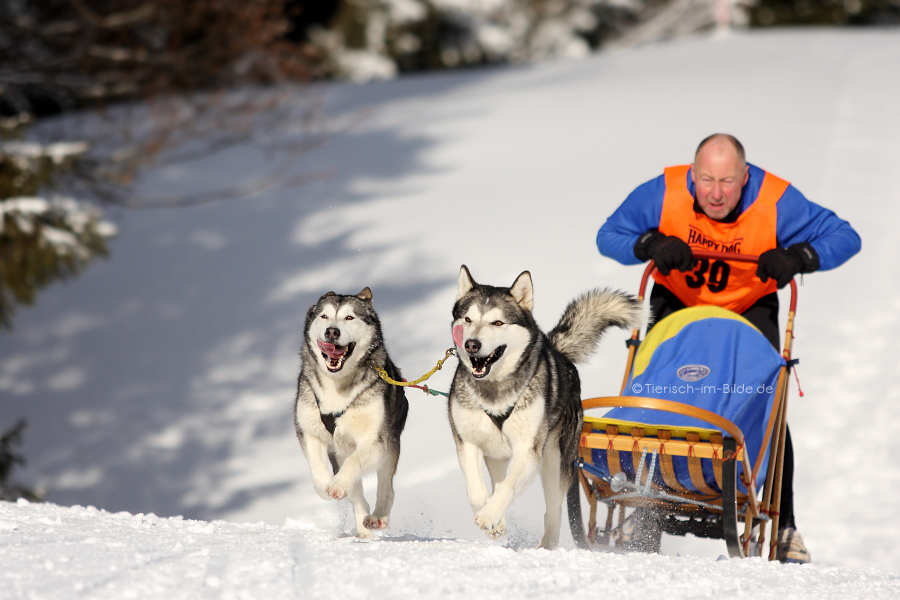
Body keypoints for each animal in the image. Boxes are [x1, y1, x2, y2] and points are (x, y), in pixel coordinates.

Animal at [296, 288, 408, 540]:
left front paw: (337, 486)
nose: (332, 331)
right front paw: (326, 487)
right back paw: (363, 527)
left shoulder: (376, 440)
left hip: (391, 446)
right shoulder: (309, 431)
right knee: (357, 496)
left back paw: (377, 517)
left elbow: (356, 461)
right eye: (324, 316)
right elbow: (317, 468)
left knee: (386, 486)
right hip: (339, 453)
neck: (337, 388)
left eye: (349, 317)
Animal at [446, 268, 636, 548]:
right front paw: (491, 516)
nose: (472, 344)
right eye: (468, 319)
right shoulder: (466, 440)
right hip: (497, 454)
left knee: (553, 510)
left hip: (555, 462)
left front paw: (490, 515)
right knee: (498, 482)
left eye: (497, 323)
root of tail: (558, 352)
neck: (495, 391)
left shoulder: (528, 449)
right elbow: (477, 489)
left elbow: (509, 486)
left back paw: (546, 544)